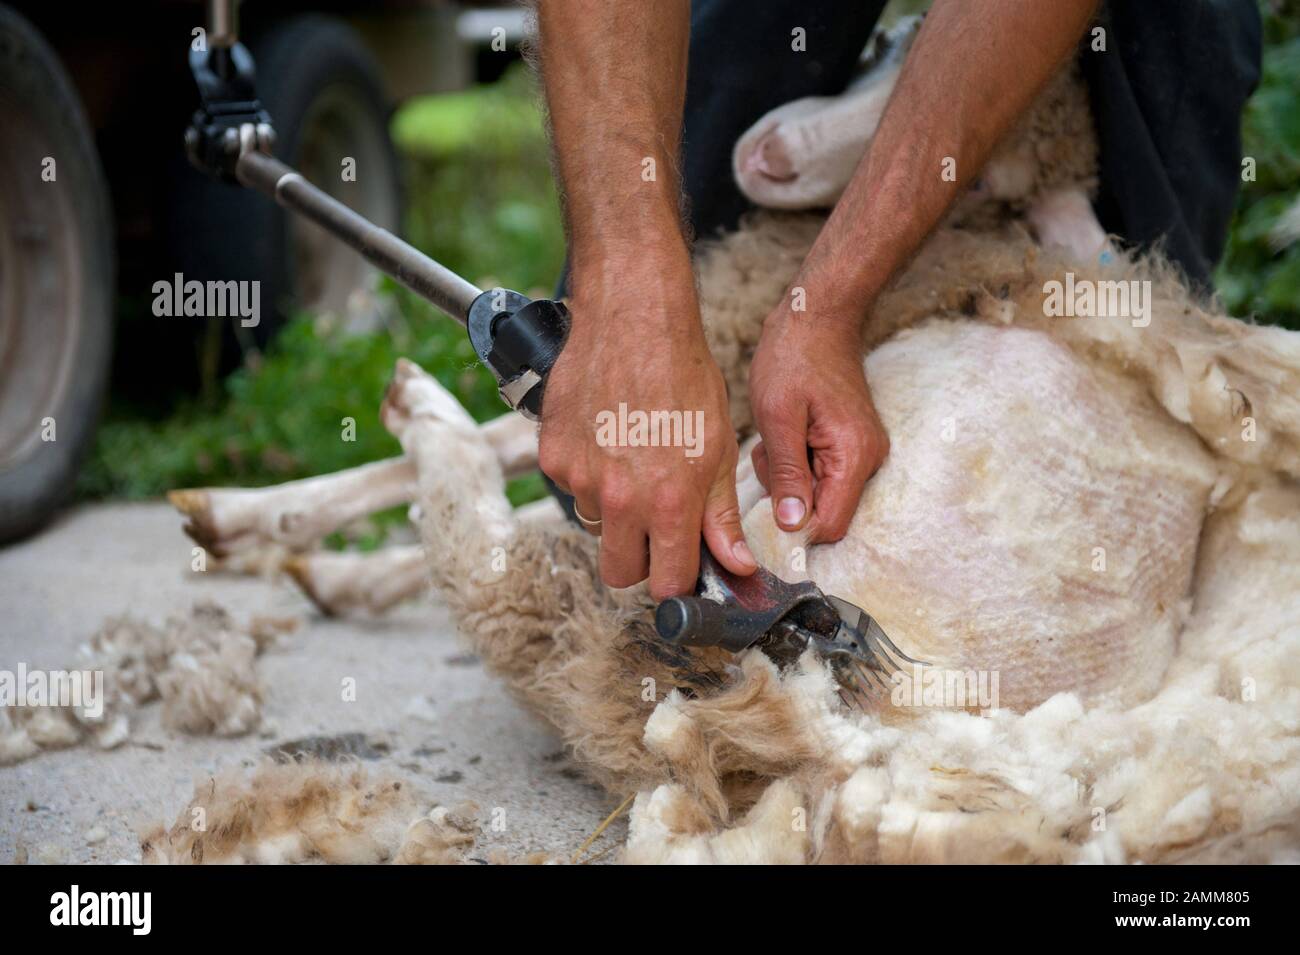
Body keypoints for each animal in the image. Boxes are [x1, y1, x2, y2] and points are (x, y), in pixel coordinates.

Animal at [168, 28, 1300, 863]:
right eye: (880, 45)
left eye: (983, 166)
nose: (768, 152)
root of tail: (879, 732)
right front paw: (316, 549)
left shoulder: (700, 368)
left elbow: (498, 453)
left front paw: (263, 520)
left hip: (618, 628)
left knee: (492, 564)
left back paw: (416, 411)